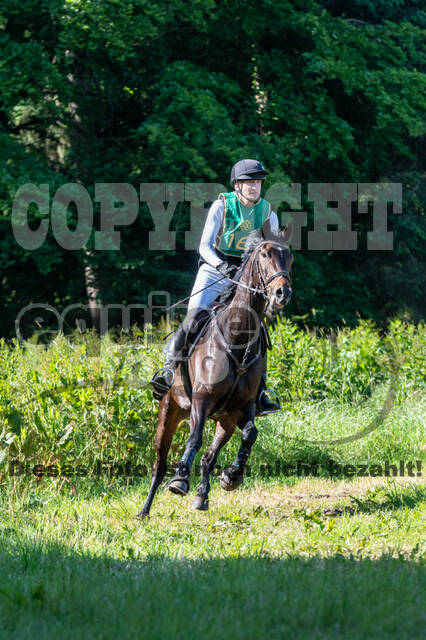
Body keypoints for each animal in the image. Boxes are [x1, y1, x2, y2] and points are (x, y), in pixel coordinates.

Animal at [139, 219, 293, 516]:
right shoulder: (202, 397)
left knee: (210, 456)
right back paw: (145, 509)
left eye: (289, 257)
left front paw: (232, 476)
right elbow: (195, 438)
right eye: (264, 255)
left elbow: (250, 434)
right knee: (159, 463)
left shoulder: (244, 406)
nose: (282, 293)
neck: (237, 336)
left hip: (225, 420)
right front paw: (180, 479)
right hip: (170, 411)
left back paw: (202, 495)